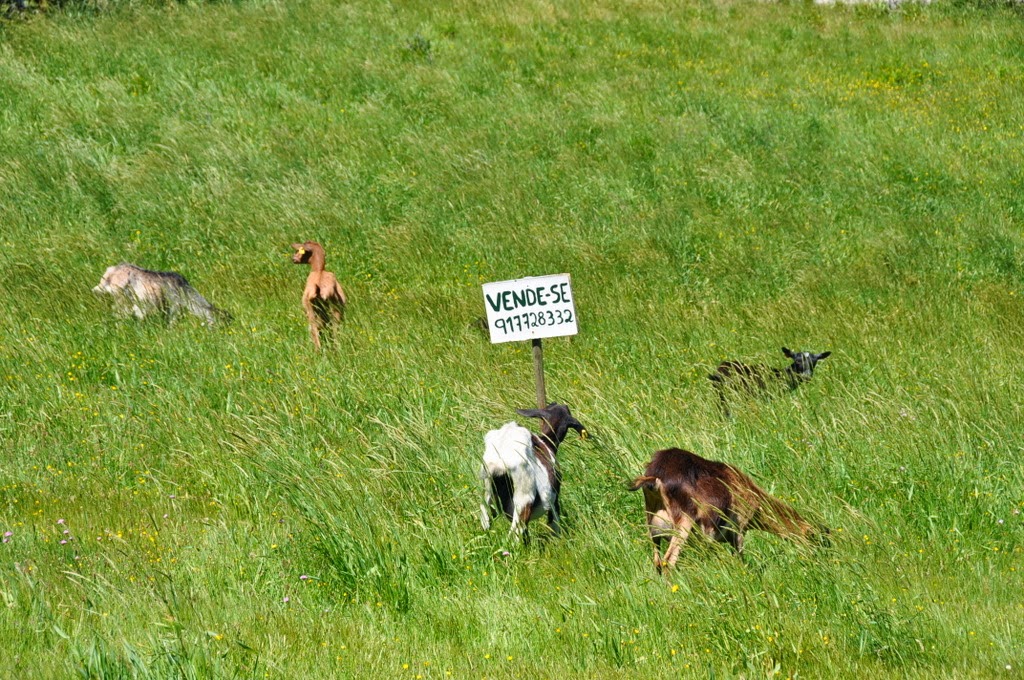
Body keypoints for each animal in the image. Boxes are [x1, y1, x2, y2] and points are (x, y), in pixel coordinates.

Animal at [479, 403, 587, 544]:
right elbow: (554, 523)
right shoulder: (554, 497)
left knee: (486, 521)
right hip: (523, 499)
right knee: (514, 534)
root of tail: (500, 460)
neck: (546, 442)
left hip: (488, 492)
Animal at [629, 448, 826, 571]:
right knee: (669, 561)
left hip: (653, 528)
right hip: (683, 523)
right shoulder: (738, 529)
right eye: (818, 540)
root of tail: (654, 478)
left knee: (657, 562)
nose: (821, 560)